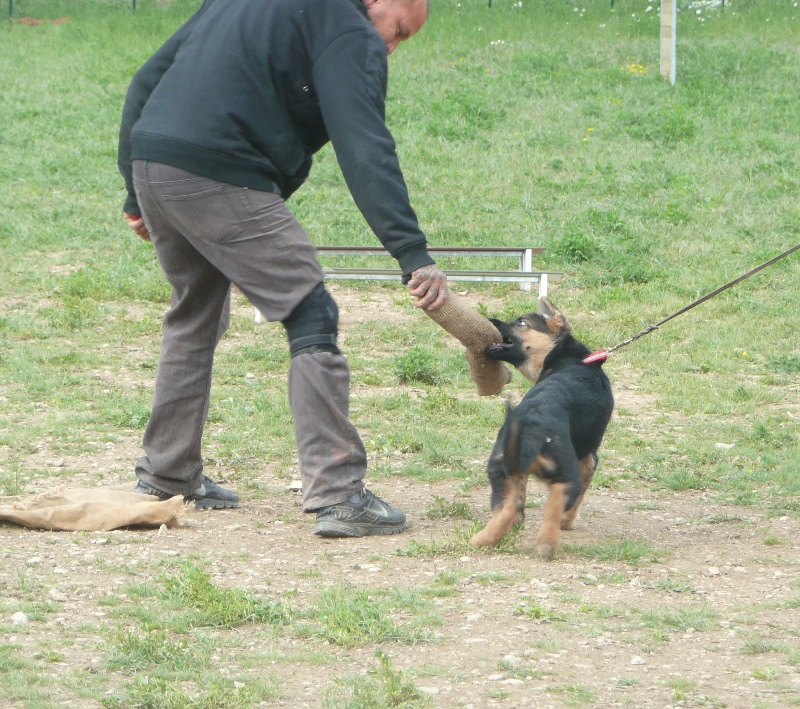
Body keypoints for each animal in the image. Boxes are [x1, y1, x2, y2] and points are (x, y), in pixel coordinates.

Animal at [468, 298, 612, 560]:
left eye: (522, 323)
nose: (490, 320)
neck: (568, 358)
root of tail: (531, 424)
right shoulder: (589, 459)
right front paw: (567, 522)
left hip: (499, 465)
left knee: (509, 506)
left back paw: (485, 539)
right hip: (566, 472)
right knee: (556, 502)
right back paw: (546, 543)